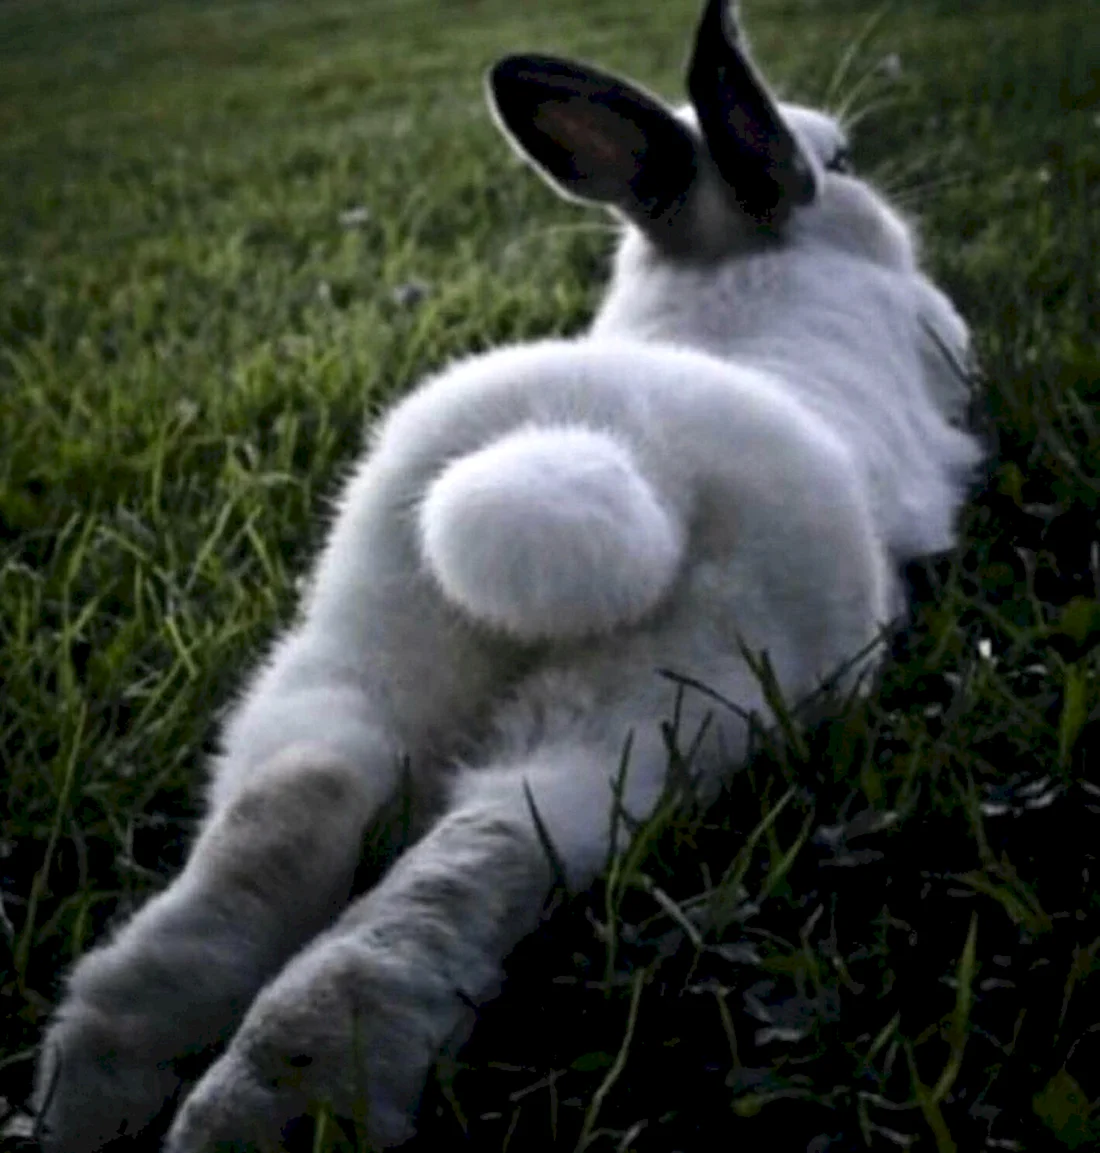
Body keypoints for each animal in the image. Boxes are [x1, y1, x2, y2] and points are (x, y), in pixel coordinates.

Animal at [32, 1, 984, 1149]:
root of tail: (594, 444)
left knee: (299, 794)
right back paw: (283, 1099)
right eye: (835, 162)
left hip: (364, 631)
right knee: (481, 847)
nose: (854, 177)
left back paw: (103, 1079)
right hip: (676, 696)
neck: (724, 265)